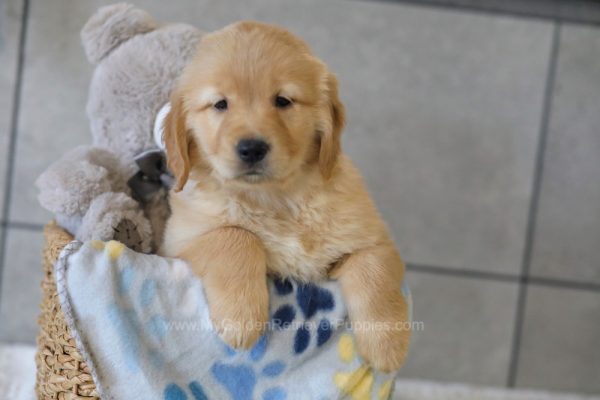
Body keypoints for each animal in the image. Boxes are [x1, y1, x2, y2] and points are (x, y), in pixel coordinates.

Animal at [162, 21, 410, 372]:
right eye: (220, 104)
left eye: (283, 100)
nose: (252, 148)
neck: (275, 199)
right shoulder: (176, 243)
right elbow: (235, 236)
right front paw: (241, 317)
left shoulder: (374, 238)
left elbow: (373, 269)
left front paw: (387, 345)